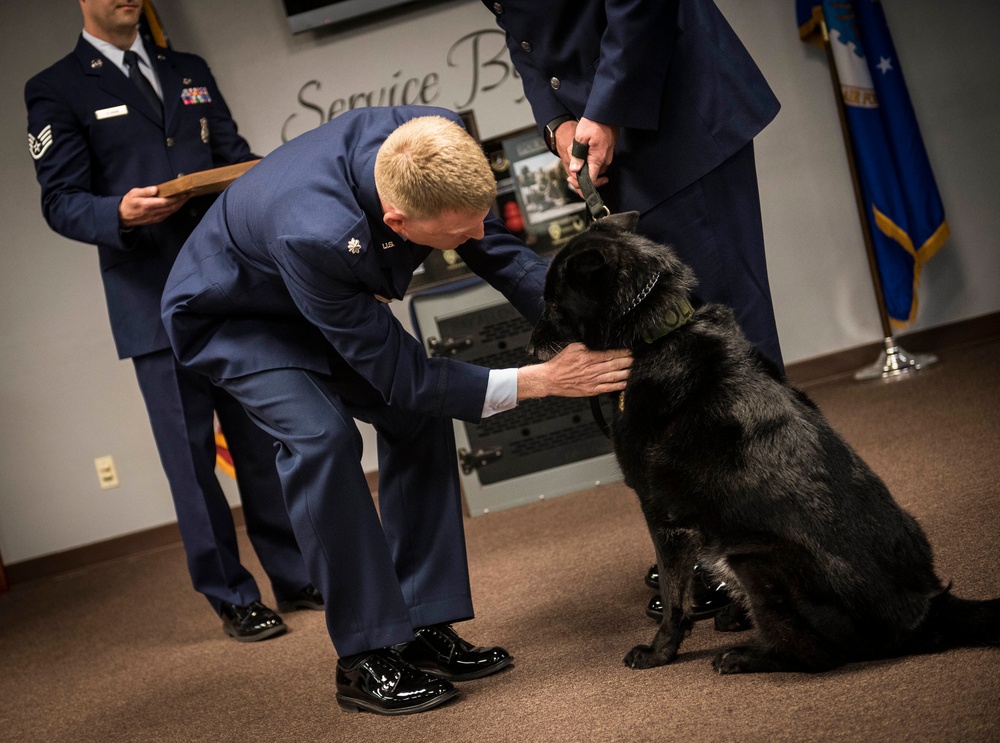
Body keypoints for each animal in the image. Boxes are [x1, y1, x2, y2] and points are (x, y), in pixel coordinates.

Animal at [528, 211, 996, 676]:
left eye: (552, 304)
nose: (530, 349)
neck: (655, 331)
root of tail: (925, 609)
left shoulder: (660, 513)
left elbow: (676, 598)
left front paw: (660, 652)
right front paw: (733, 615)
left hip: (753, 556)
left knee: (817, 656)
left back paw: (745, 656)